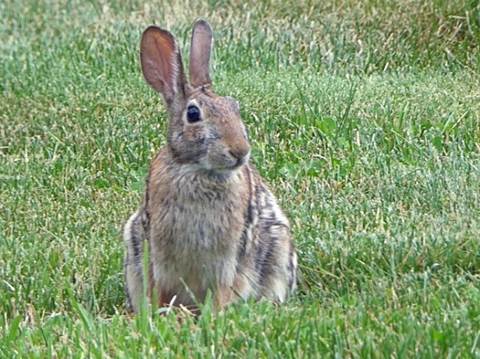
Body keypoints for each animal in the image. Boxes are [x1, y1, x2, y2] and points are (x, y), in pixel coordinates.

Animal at [124, 18, 296, 314]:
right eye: (193, 114)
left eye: (234, 107)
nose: (240, 151)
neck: (196, 170)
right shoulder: (155, 254)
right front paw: (161, 313)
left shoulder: (230, 258)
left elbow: (225, 289)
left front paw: (214, 313)